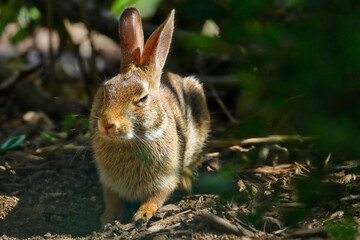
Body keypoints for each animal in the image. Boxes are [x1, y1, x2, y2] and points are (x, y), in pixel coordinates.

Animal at [88, 7, 210, 225]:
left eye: (143, 98)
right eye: (104, 91)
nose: (107, 125)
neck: (130, 141)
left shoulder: (166, 177)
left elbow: (158, 195)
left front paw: (142, 214)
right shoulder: (108, 181)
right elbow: (112, 198)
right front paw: (109, 217)